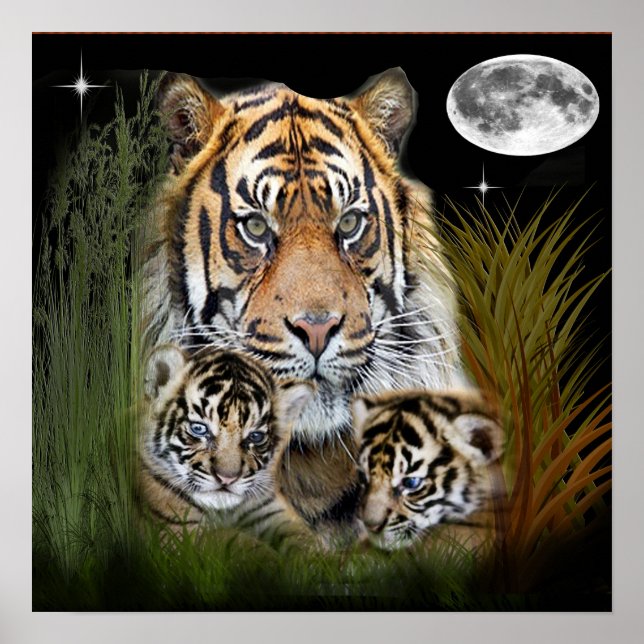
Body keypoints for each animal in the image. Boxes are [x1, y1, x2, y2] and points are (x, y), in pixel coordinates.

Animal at [139, 343, 314, 541]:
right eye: (199, 428)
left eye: (255, 437)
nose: (227, 479)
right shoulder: (178, 530)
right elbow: (237, 541)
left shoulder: (270, 506)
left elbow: (305, 539)